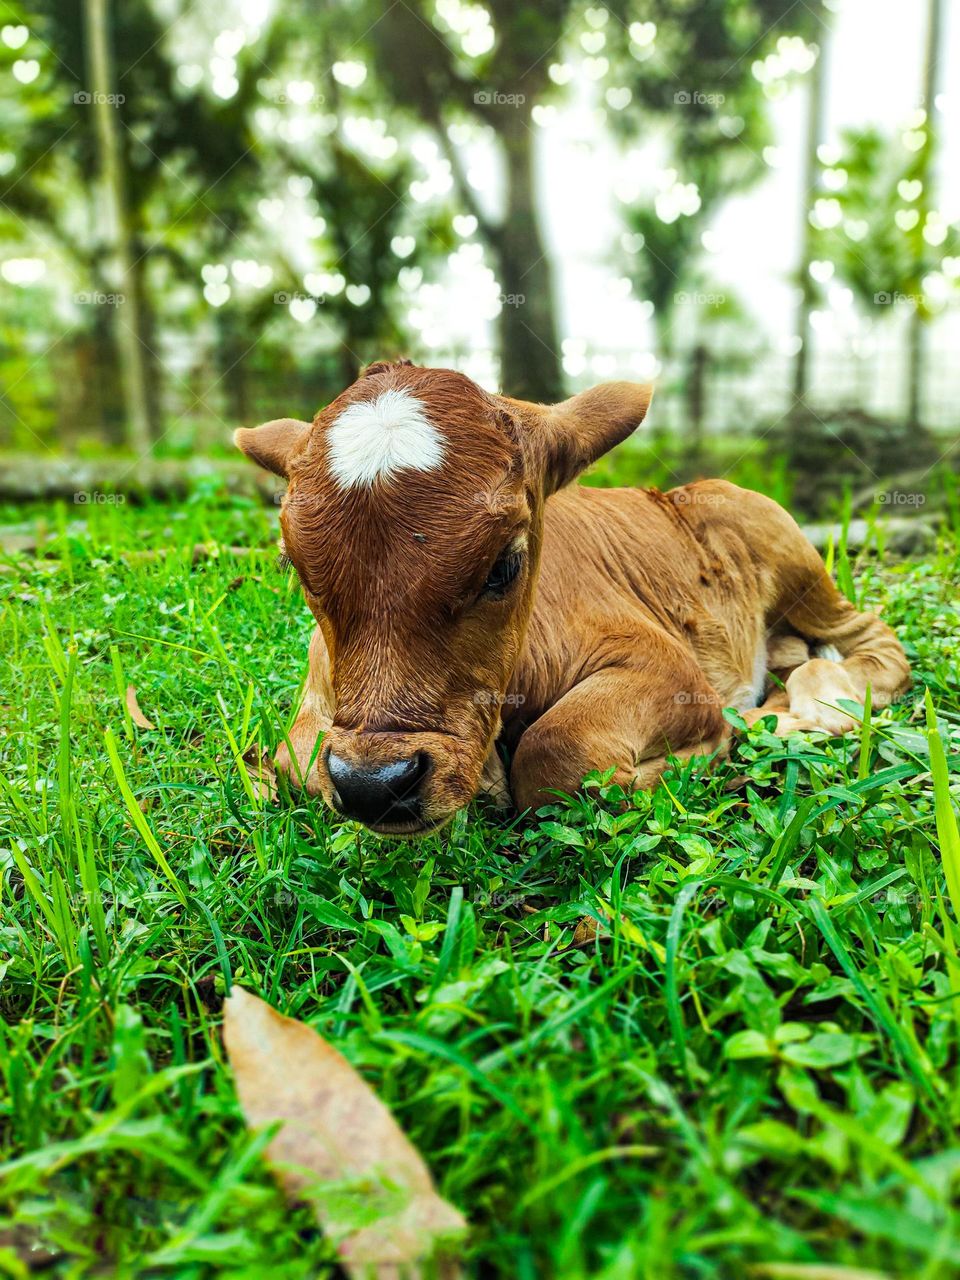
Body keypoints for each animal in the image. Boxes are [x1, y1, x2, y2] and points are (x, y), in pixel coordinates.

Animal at [234, 360, 910, 837]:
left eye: (504, 565)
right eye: (297, 569)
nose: (376, 784)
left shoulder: (668, 667)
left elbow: (555, 755)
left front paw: (709, 746)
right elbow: (300, 760)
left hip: (795, 560)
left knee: (872, 640)